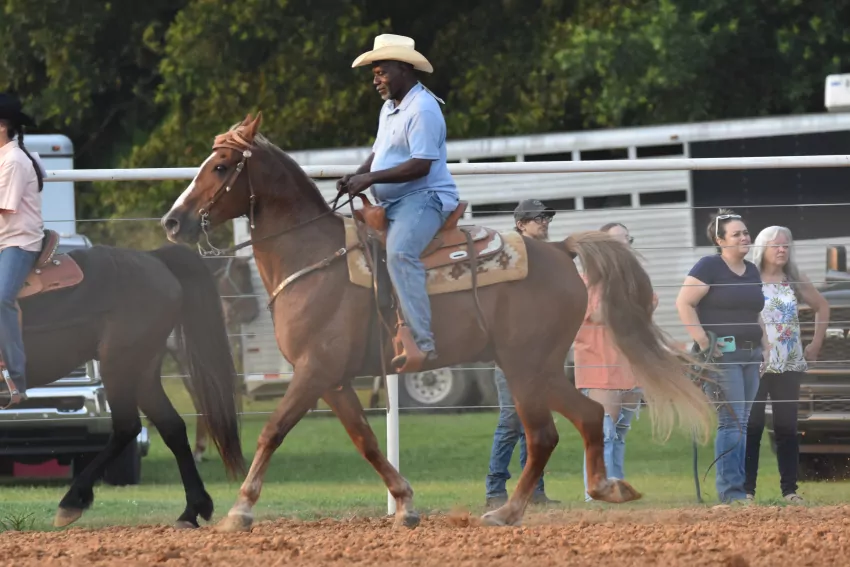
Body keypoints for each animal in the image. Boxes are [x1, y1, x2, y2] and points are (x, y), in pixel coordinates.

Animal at [8, 241, 245, 529]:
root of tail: (154, 258)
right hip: (143, 372)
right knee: (172, 427)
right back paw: (192, 509)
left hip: (118, 365)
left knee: (127, 427)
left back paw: (73, 501)